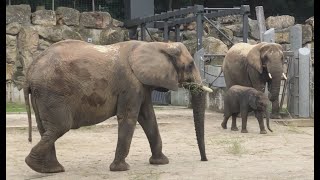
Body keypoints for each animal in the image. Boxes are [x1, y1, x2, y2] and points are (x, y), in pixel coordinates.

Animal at [23, 39, 212, 173]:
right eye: (190, 65)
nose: (204, 160)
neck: (157, 44)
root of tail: (29, 72)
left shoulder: (141, 84)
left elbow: (148, 117)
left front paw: (161, 162)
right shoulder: (130, 83)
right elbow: (129, 117)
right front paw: (121, 169)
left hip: (43, 96)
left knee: (46, 129)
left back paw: (50, 170)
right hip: (53, 93)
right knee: (60, 127)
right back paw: (37, 166)